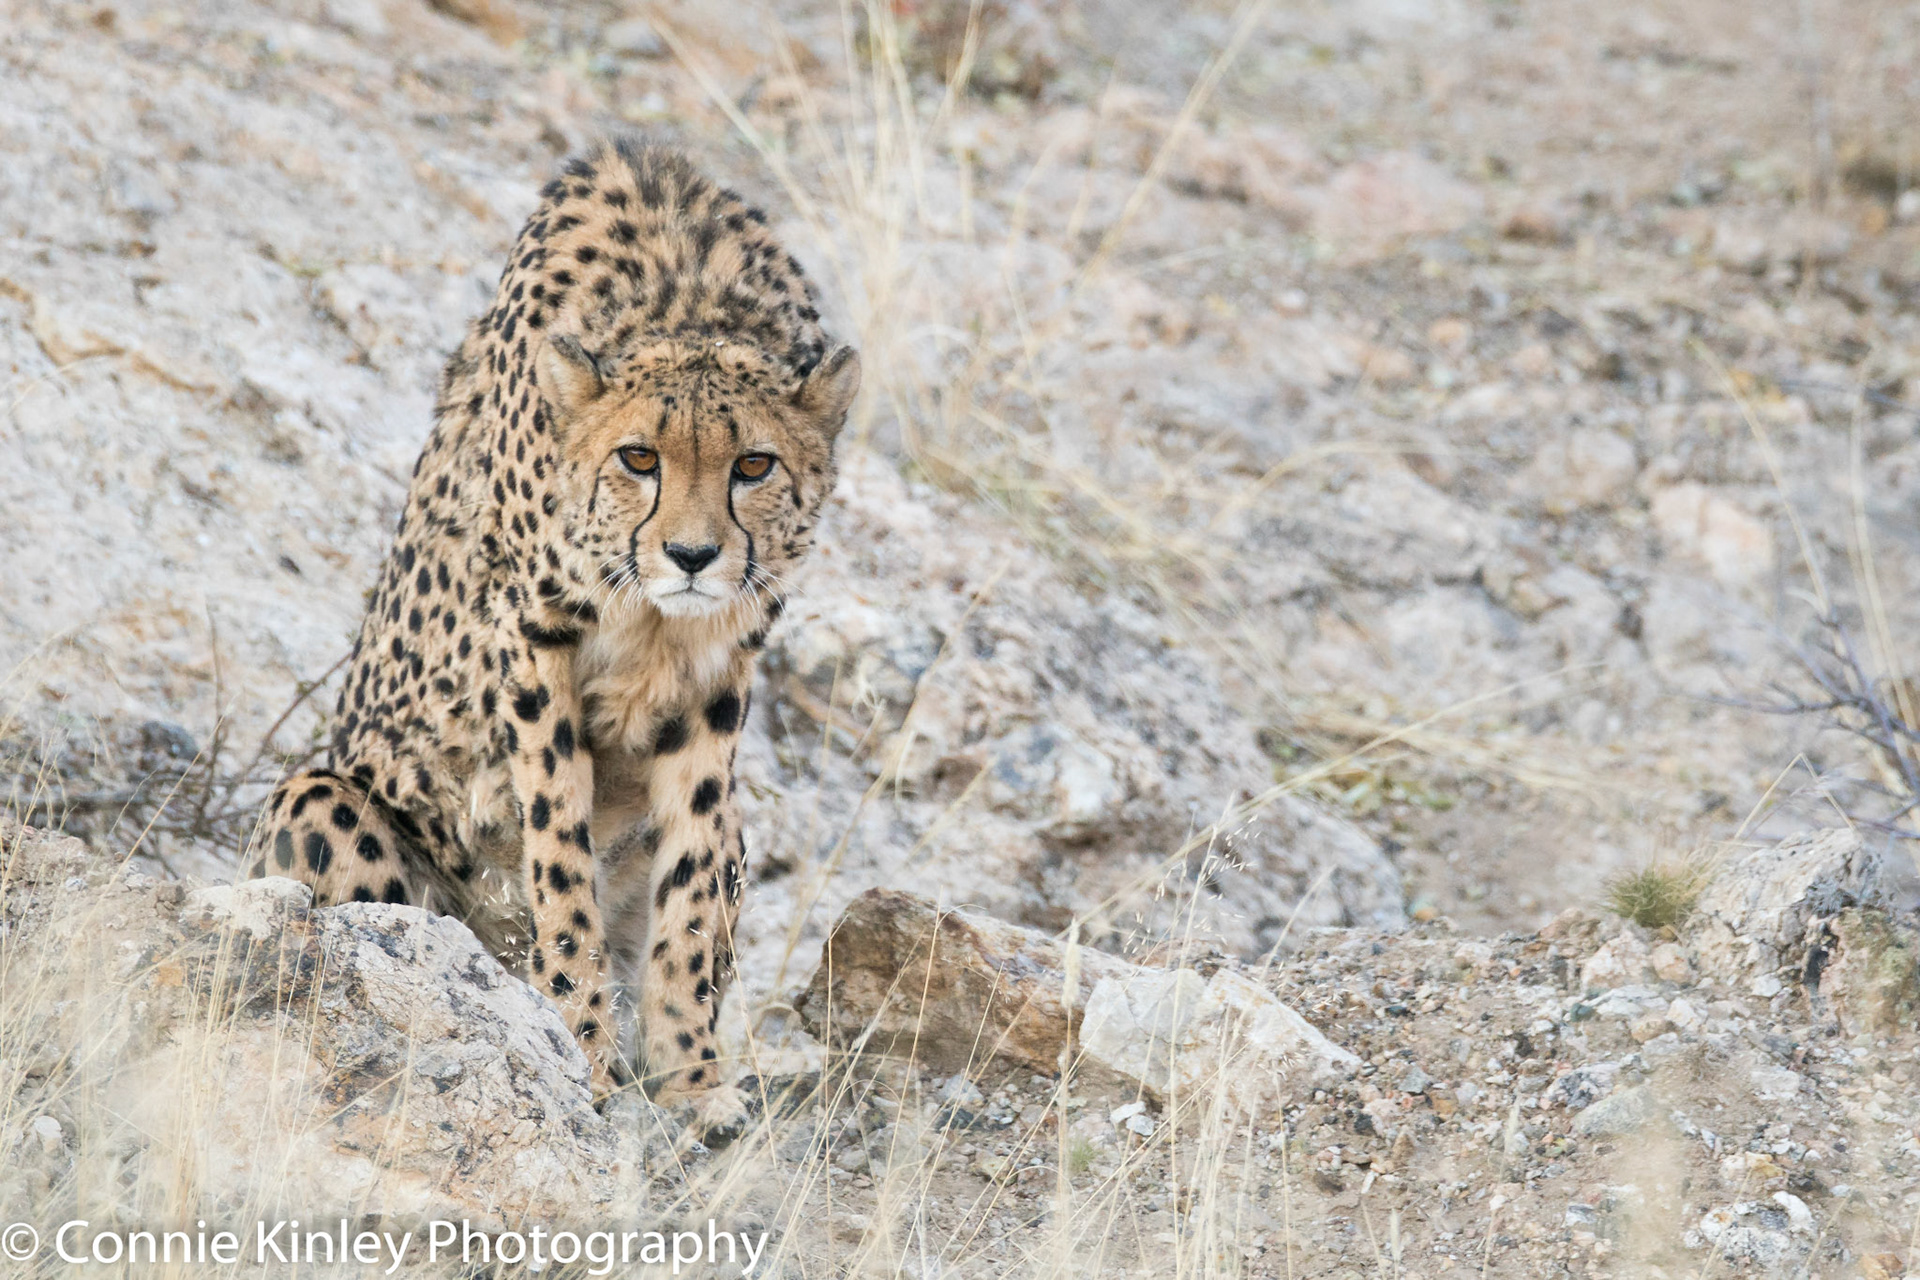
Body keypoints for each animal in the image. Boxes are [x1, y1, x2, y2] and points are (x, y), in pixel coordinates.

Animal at [244, 138, 860, 1133]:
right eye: (638, 458)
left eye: (754, 465)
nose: (693, 555)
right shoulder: (536, 648)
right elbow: (562, 859)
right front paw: (582, 1048)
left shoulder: (718, 675)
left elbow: (689, 894)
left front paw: (691, 1080)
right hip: (325, 798)